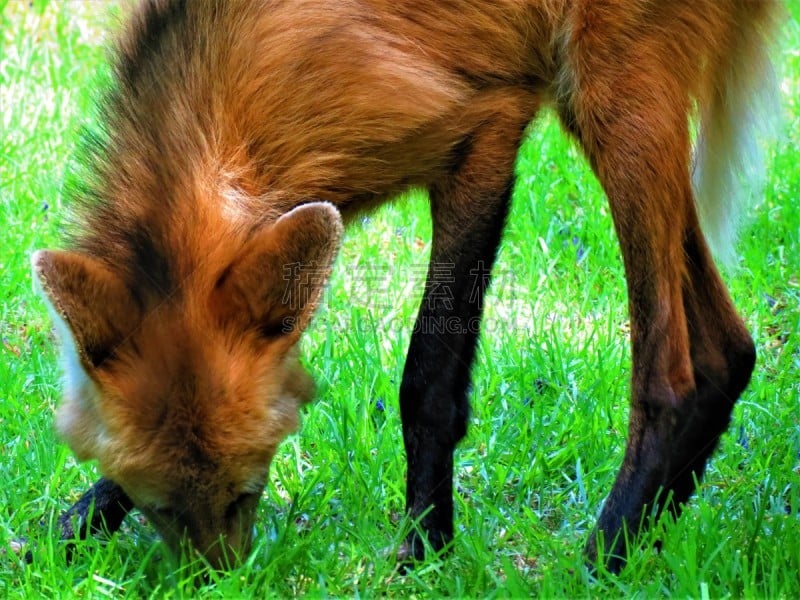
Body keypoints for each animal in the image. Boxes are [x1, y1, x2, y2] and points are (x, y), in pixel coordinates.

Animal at [34, 0, 780, 572]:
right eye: (159, 506)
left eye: (246, 493)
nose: (218, 579)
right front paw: (64, 535)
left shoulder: (483, 127)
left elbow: (429, 377)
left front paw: (424, 551)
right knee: (729, 350)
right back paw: (644, 540)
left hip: (610, 91)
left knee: (676, 375)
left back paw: (601, 560)